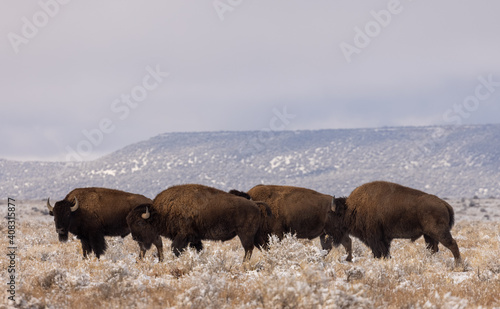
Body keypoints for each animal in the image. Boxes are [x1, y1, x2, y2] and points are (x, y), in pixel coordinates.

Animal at [127, 184, 272, 262]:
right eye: (130, 222)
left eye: (140, 223)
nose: (134, 237)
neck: (159, 212)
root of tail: (254, 204)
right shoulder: (195, 239)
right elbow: (198, 249)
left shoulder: (182, 236)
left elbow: (175, 249)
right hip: (257, 235)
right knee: (263, 246)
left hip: (245, 234)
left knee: (248, 248)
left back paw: (243, 264)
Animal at [330, 180, 462, 264]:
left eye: (337, 214)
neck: (353, 208)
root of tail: (444, 203)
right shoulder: (384, 239)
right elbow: (385, 252)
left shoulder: (375, 238)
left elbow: (379, 252)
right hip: (429, 235)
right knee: (433, 249)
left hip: (439, 232)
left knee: (452, 244)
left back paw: (458, 265)